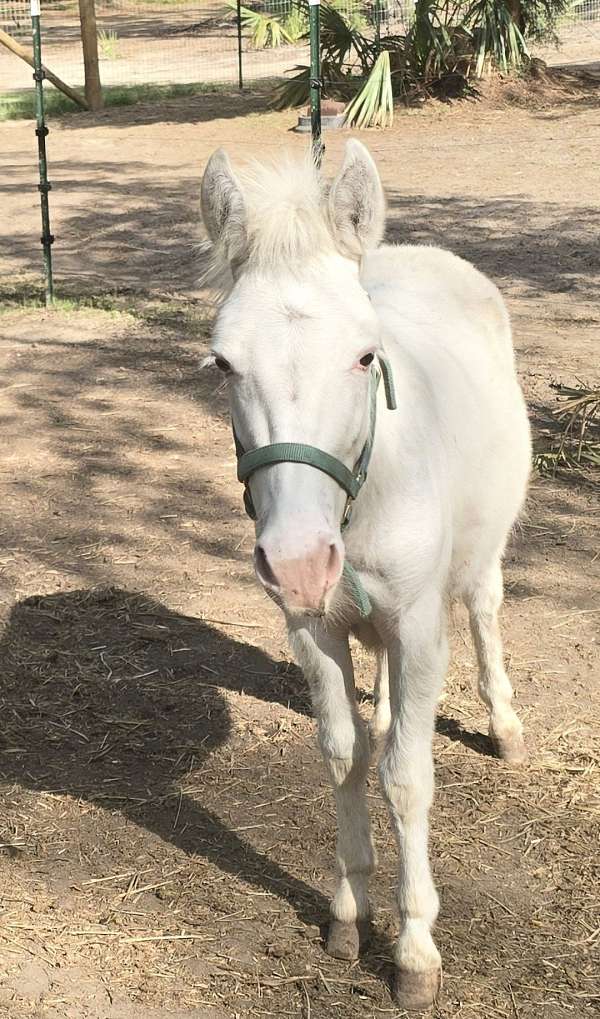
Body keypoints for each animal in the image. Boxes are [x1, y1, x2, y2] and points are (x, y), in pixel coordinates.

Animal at [200, 140, 531, 1010]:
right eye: (223, 363)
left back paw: (504, 724)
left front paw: (415, 949)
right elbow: (345, 754)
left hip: (482, 554)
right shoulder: (312, 626)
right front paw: (350, 910)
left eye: (364, 355)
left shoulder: (419, 626)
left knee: (485, 609)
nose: (297, 558)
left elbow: (407, 777)